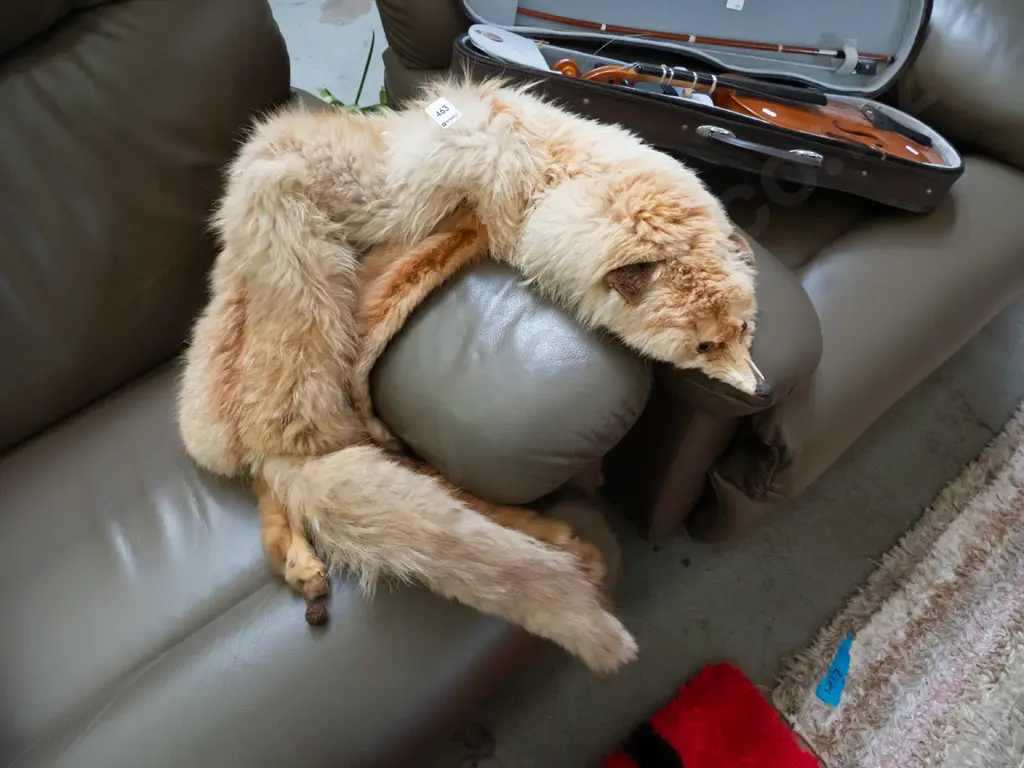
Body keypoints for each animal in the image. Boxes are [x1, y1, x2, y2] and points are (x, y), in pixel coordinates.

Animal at [176, 74, 761, 674]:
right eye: (704, 345)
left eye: (743, 329)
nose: (759, 388)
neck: (551, 174)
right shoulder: (417, 209)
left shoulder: (473, 226)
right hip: (291, 326)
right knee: (282, 459)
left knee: (292, 474)